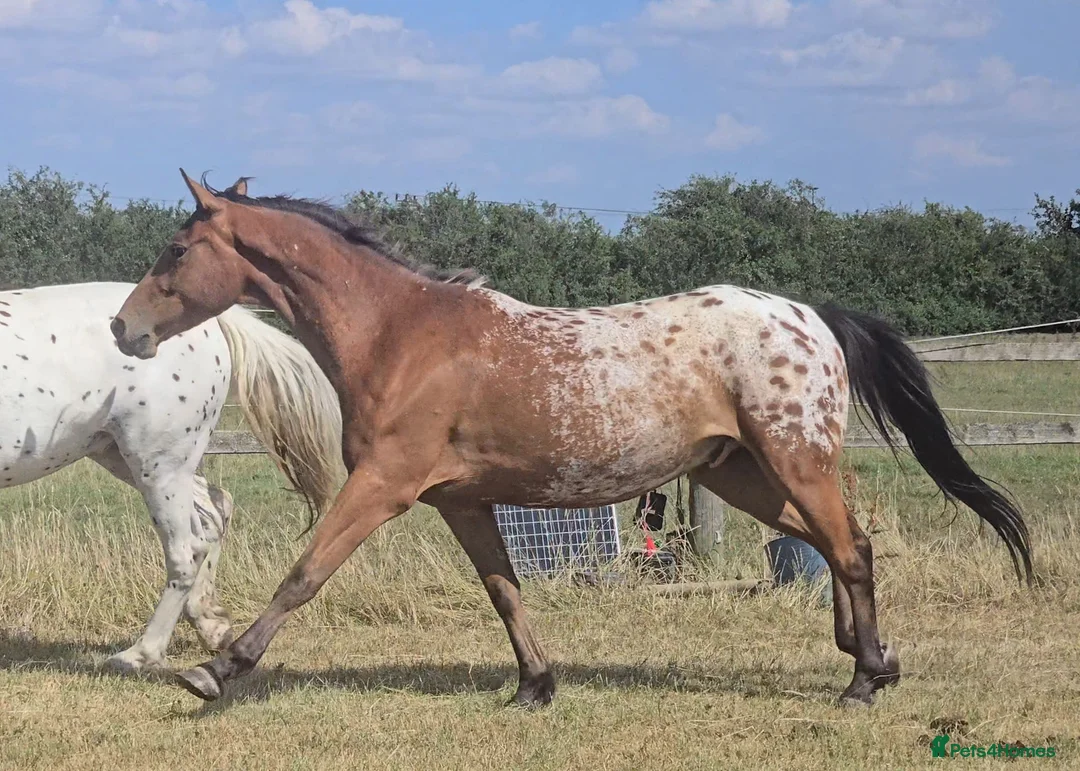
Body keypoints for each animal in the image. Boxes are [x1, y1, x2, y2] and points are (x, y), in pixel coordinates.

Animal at [1, 271, 344, 672]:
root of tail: (215, 321)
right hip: (134, 458)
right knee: (214, 511)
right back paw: (212, 625)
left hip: (157, 462)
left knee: (186, 548)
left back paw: (141, 654)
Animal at [111, 170, 1032, 707]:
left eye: (178, 247)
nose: (124, 326)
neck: (401, 334)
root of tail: (812, 318)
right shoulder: (461, 500)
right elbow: (505, 590)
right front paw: (535, 686)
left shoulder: (383, 485)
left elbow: (304, 573)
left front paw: (217, 669)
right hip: (741, 474)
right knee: (843, 543)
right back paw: (873, 658)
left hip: (793, 460)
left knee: (850, 549)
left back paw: (863, 679)